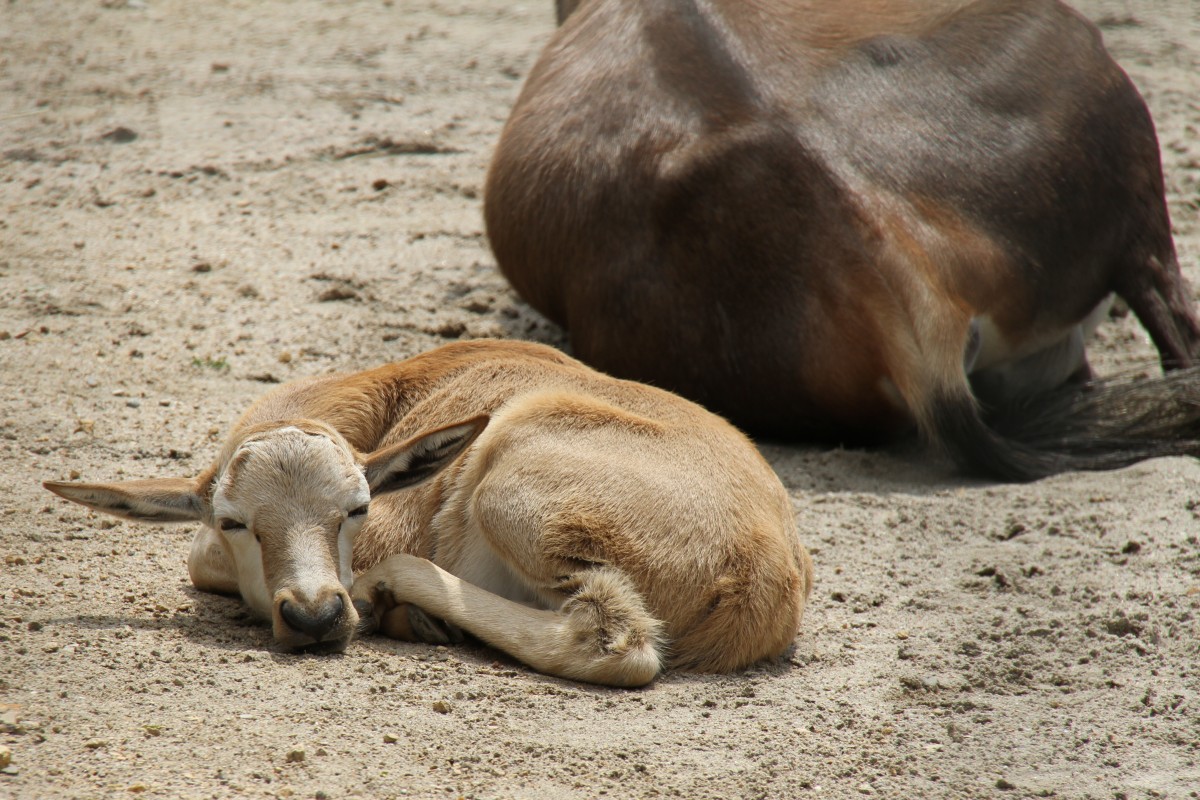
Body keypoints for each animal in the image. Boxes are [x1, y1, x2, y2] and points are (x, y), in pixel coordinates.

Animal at [46, 340, 816, 686]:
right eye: (235, 519)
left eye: (357, 507)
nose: (316, 616)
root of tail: (765, 575)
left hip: (509, 488)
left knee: (614, 639)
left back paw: (395, 597)